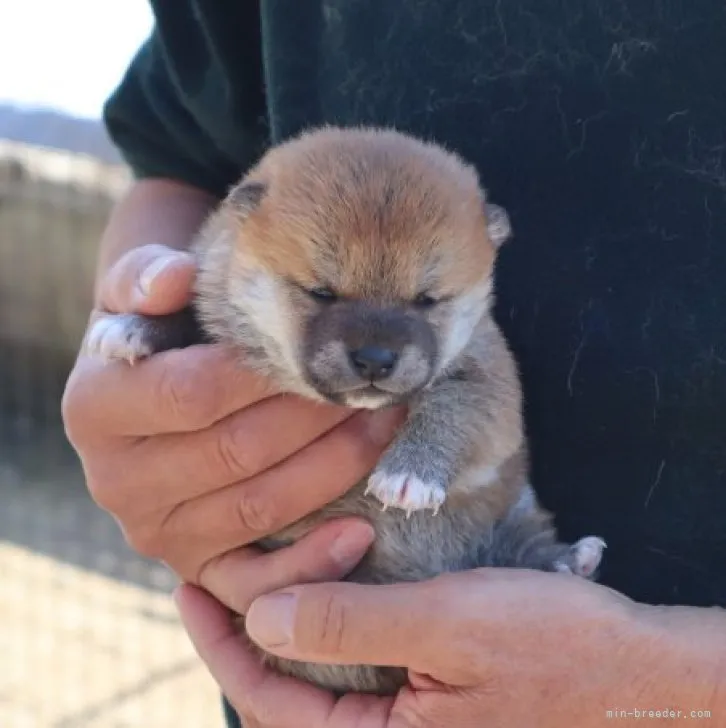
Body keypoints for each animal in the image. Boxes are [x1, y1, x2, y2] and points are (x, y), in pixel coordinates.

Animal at [86, 125, 608, 692]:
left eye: (427, 299)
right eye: (321, 292)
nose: (376, 359)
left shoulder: (489, 380)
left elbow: (451, 408)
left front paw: (409, 473)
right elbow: (188, 317)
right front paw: (134, 327)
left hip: (511, 513)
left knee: (526, 549)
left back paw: (569, 561)